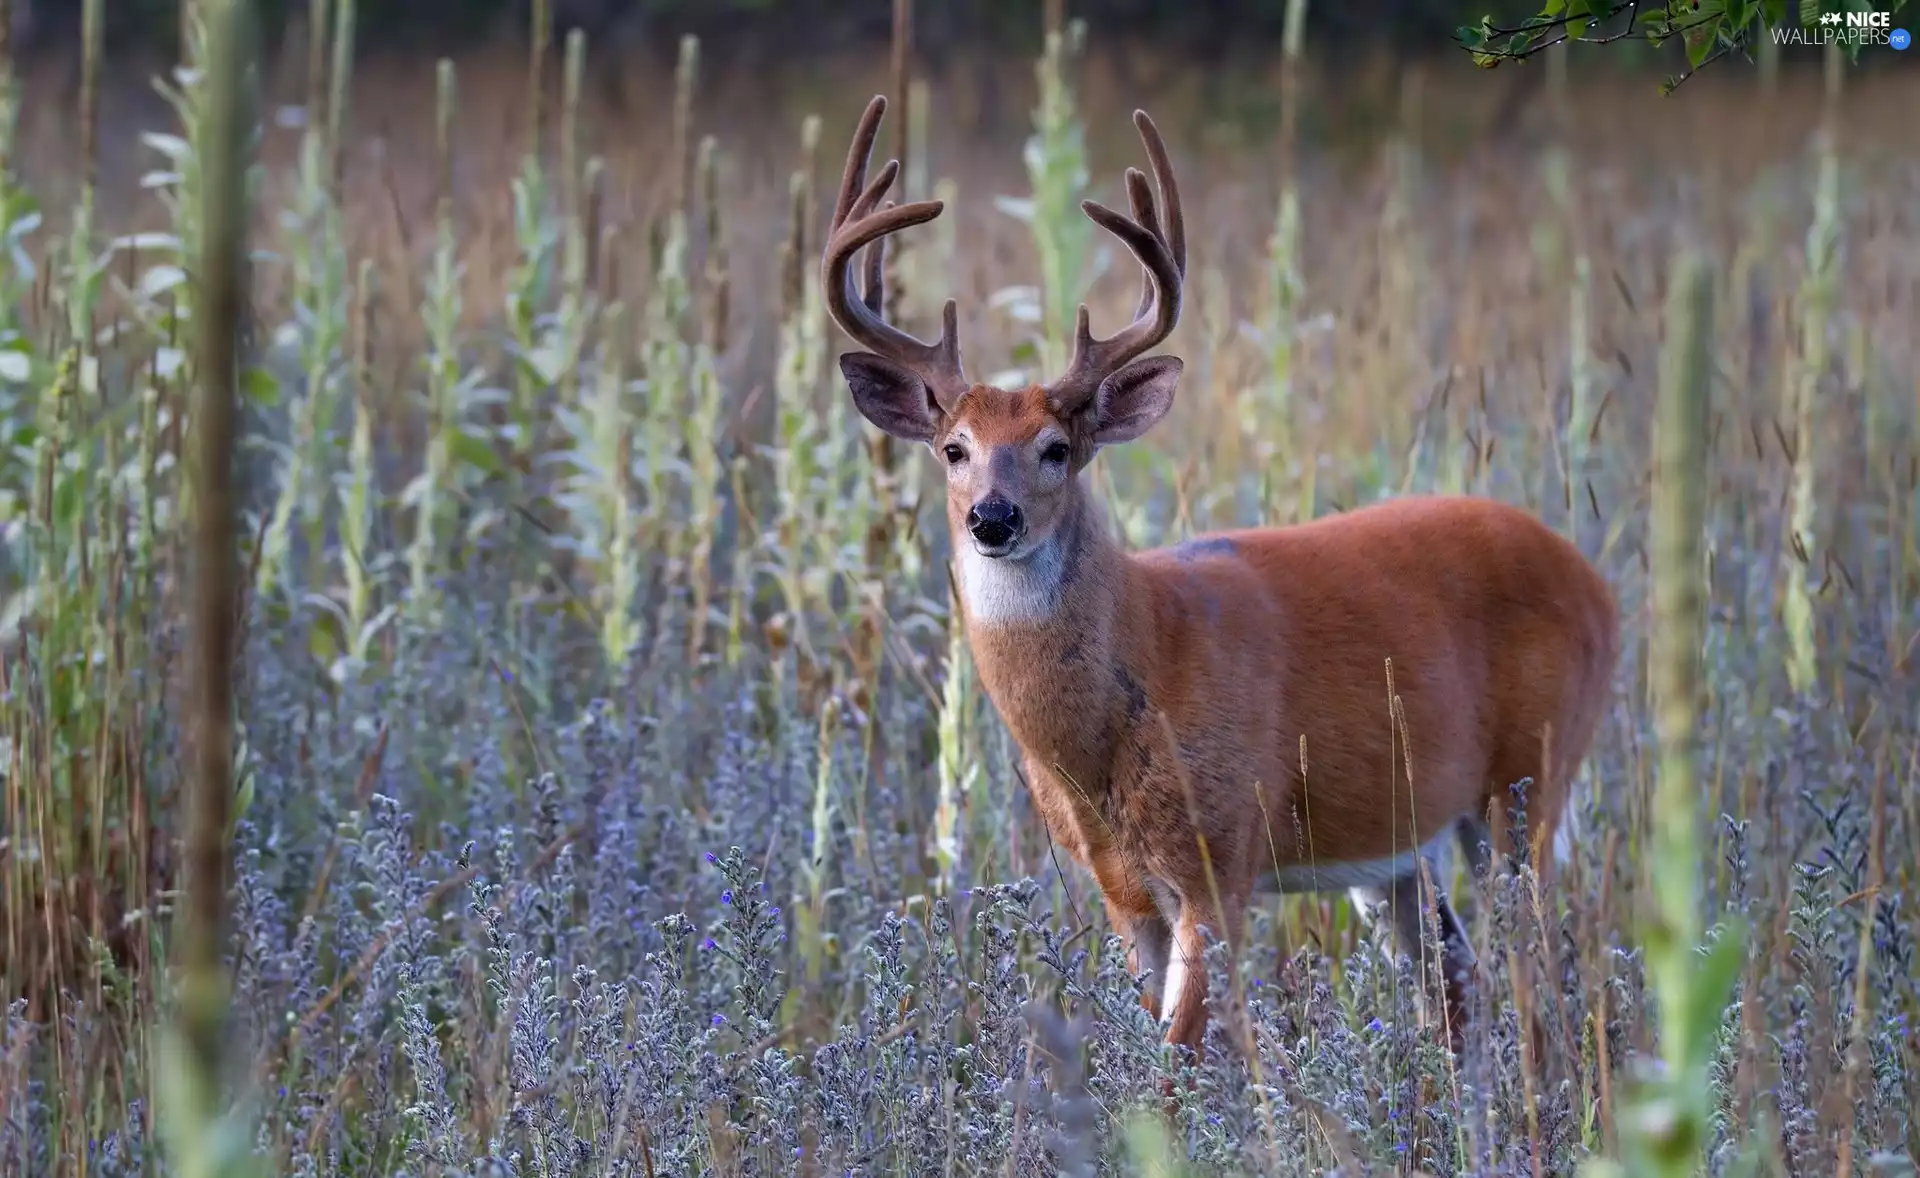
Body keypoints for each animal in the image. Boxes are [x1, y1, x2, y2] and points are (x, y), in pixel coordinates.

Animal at [819, 94, 1621, 1057]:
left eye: (1056, 448)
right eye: (954, 449)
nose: (992, 518)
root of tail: (1597, 586)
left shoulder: (1223, 854)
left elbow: (1181, 1060)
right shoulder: (1122, 891)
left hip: (1531, 779)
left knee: (1546, 970)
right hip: (1407, 843)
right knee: (1460, 979)